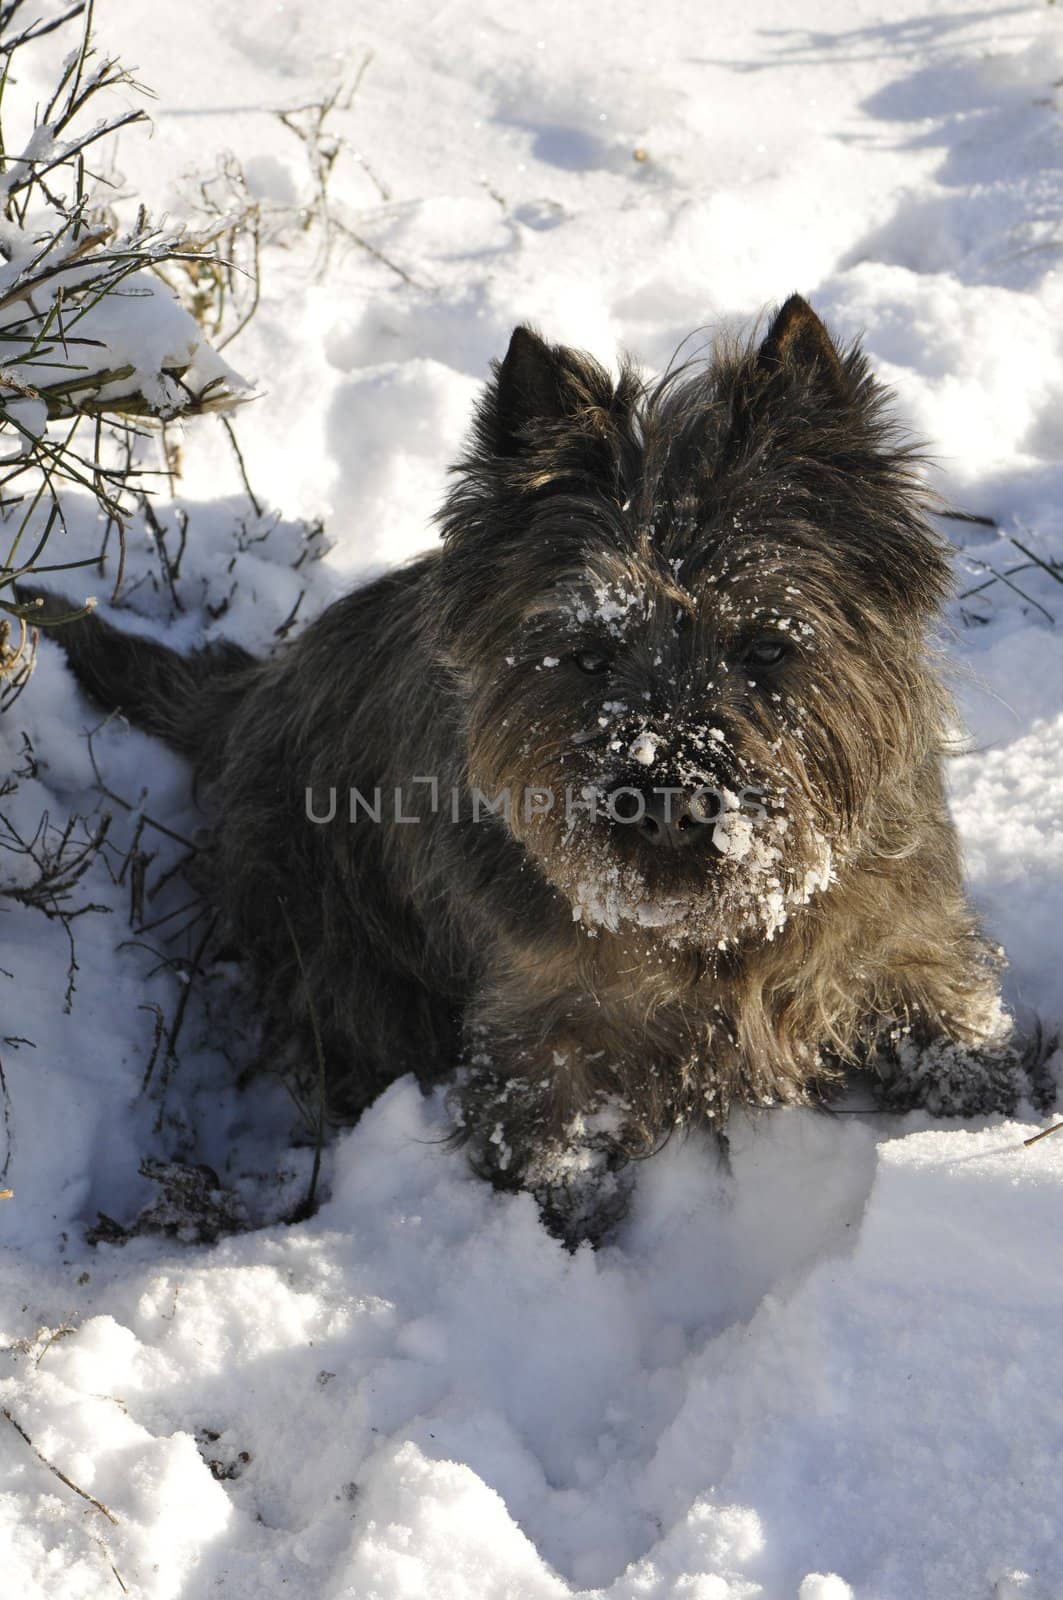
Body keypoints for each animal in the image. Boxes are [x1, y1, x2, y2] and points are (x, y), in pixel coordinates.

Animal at [27, 300, 1043, 1241]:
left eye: (765, 646)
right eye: (588, 655)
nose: (667, 802)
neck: (714, 933)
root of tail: (249, 690)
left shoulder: (903, 947)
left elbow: (962, 1045)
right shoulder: (540, 1028)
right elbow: (547, 1145)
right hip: (322, 931)